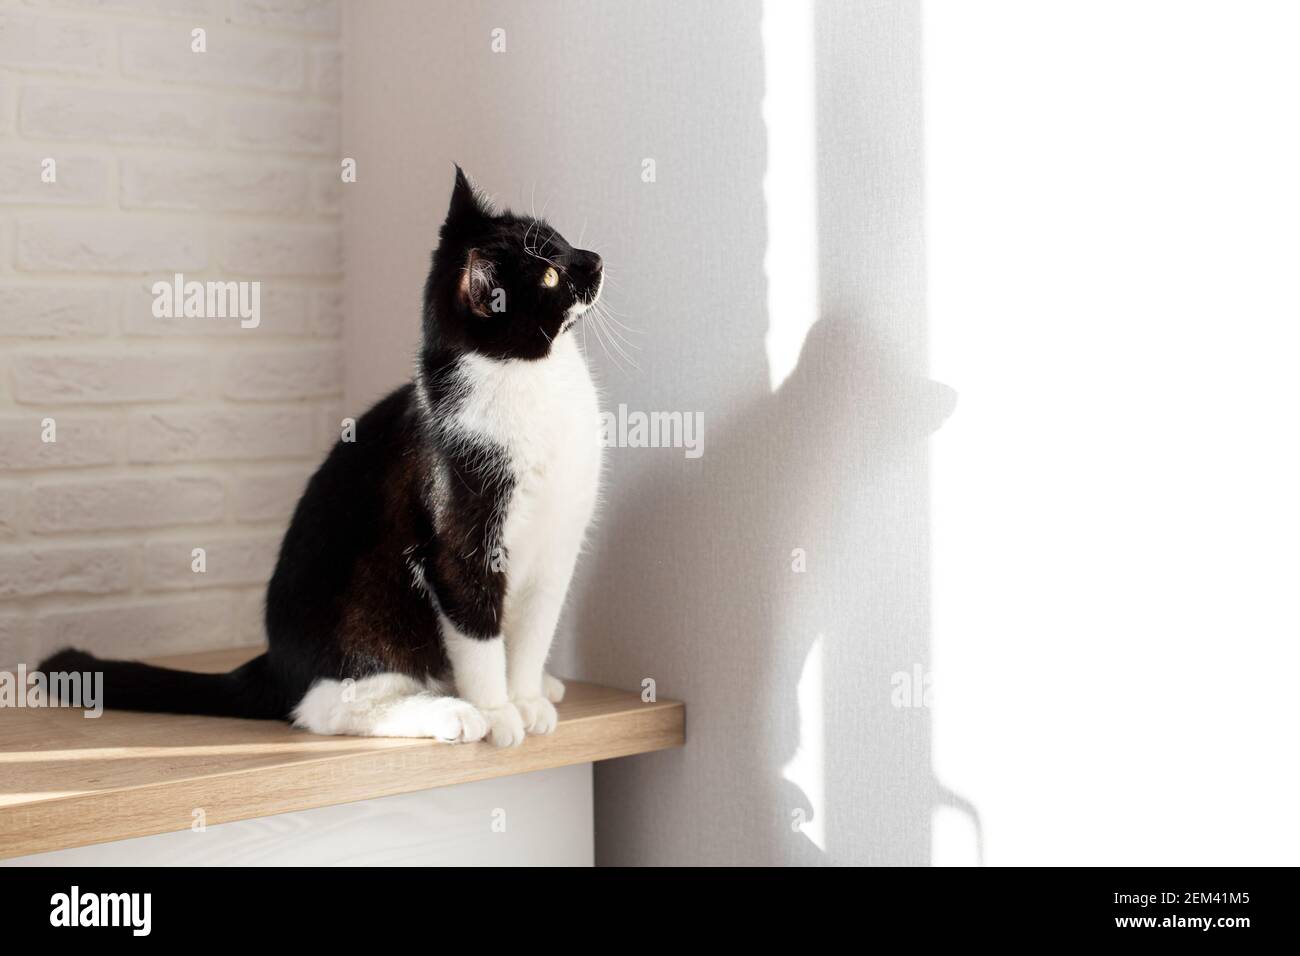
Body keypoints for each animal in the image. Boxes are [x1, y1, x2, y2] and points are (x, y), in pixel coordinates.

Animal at [41, 166, 603, 749]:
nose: (595, 260)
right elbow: (477, 635)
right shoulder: (459, 541)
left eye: (557, 238)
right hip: (361, 621)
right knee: (328, 707)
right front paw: (498, 712)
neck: (530, 381)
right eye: (549, 276)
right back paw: (450, 712)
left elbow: (535, 630)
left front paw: (528, 697)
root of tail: (276, 665)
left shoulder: (557, 546)